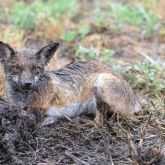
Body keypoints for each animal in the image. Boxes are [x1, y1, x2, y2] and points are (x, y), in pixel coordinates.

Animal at [0, 41, 142, 126]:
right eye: (16, 67)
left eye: (36, 68)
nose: (27, 83)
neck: (23, 97)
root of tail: (136, 101)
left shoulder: (39, 108)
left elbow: (28, 115)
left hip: (100, 83)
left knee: (100, 122)